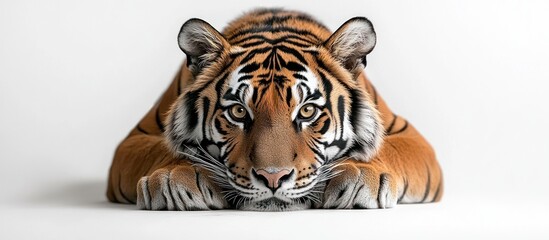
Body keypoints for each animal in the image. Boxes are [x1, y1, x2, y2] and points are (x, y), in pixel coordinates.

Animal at [106, 8, 440, 211]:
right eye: (238, 113)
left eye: (307, 112)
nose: (273, 178)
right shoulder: (134, 139)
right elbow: (165, 148)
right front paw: (175, 177)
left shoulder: (411, 137)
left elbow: (388, 150)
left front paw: (361, 174)